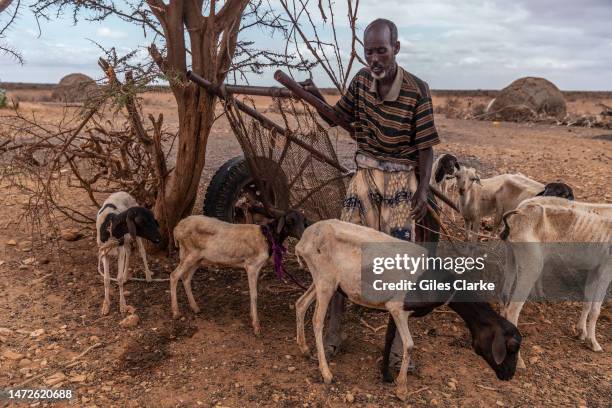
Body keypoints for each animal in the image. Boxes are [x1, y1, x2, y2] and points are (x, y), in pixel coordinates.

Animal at [170, 210, 308, 334]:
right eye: (289, 221)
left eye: (303, 220)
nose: (303, 234)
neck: (267, 237)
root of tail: (177, 229)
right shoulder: (252, 266)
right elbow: (254, 294)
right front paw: (256, 326)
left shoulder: (257, 267)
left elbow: (253, 292)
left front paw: (252, 316)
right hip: (190, 253)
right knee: (174, 276)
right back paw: (176, 313)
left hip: (198, 258)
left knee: (186, 278)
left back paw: (195, 308)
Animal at [296, 220, 520, 398]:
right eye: (511, 347)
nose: (509, 375)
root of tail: (304, 239)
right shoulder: (398, 307)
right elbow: (410, 345)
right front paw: (401, 388)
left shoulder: (391, 307)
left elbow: (389, 337)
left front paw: (386, 375)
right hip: (325, 281)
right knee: (316, 321)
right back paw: (326, 373)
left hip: (322, 280)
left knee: (300, 304)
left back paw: (304, 349)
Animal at [502, 198, 612, 366]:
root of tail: (521, 210)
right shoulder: (606, 269)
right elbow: (595, 310)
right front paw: (593, 343)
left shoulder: (594, 269)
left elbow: (587, 302)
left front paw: (581, 332)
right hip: (531, 267)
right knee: (513, 310)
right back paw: (519, 361)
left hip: (511, 258)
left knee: (504, 296)